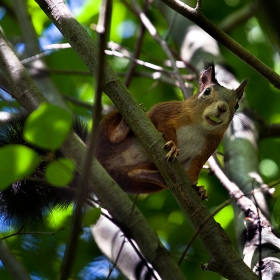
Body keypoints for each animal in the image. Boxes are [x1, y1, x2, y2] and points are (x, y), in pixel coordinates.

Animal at [94, 63, 247, 199]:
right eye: (207, 91)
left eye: (237, 105)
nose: (222, 107)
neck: (199, 127)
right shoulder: (168, 110)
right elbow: (164, 124)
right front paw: (173, 146)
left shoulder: (207, 148)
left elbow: (194, 168)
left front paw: (199, 190)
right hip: (109, 126)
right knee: (113, 137)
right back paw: (123, 127)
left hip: (139, 181)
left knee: (133, 174)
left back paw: (155, 176)